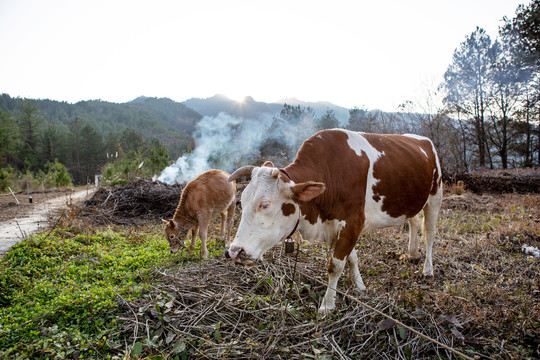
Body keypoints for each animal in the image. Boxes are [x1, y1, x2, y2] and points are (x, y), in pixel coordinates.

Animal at [226, 129, 440, 312]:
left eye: (265, 204)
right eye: (242, 201)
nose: (235, 251)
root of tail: (421, 139)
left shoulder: (353, 223)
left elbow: (335, 266)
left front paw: (328, 305)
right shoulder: (341, 227)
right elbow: (352, 258)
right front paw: (359, 285)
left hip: (435, 196)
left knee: (429, 233)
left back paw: (428, 269)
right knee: (413, 221)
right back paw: (412, 252)